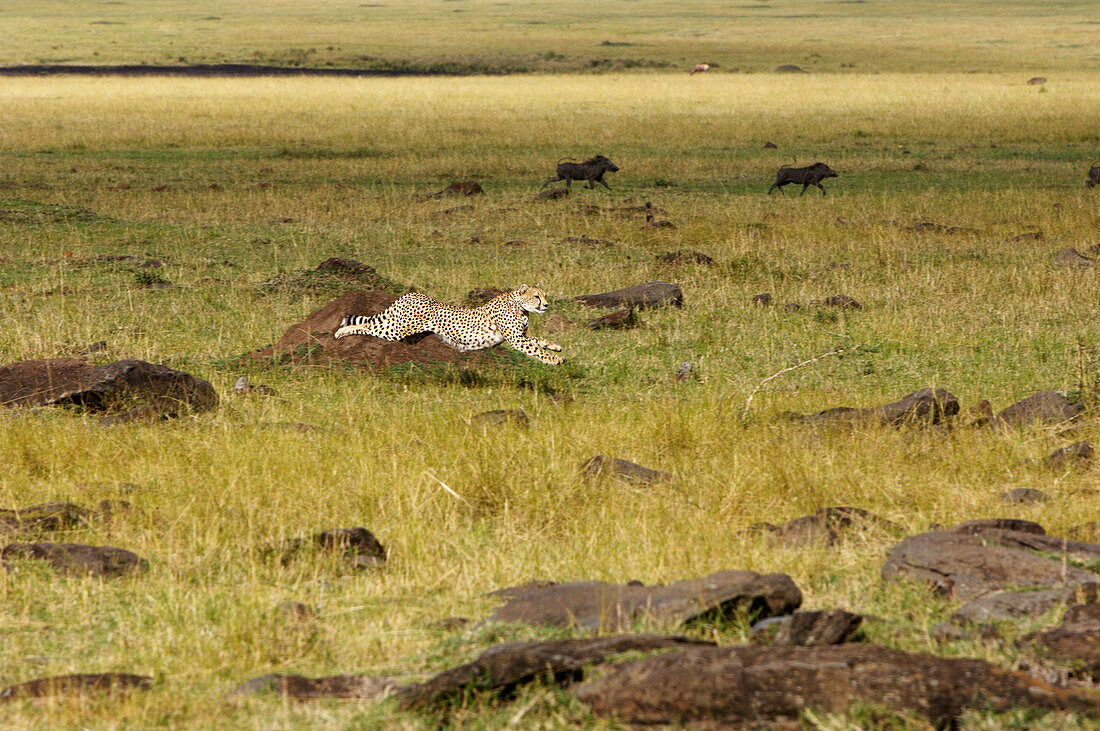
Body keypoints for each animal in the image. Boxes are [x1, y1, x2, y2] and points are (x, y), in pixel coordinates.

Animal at [330, 283, 563, 364]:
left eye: (545, 295)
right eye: (536, 296)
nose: (546, 304)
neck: (519, 304)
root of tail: (413, 294)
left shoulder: (520, 337)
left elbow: (538, 340)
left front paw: (556, 347)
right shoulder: (516, 340)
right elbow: (536, 350)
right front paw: (554, 360)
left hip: (408, 333)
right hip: (397, 329)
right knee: (368, 326)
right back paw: (341, 332)